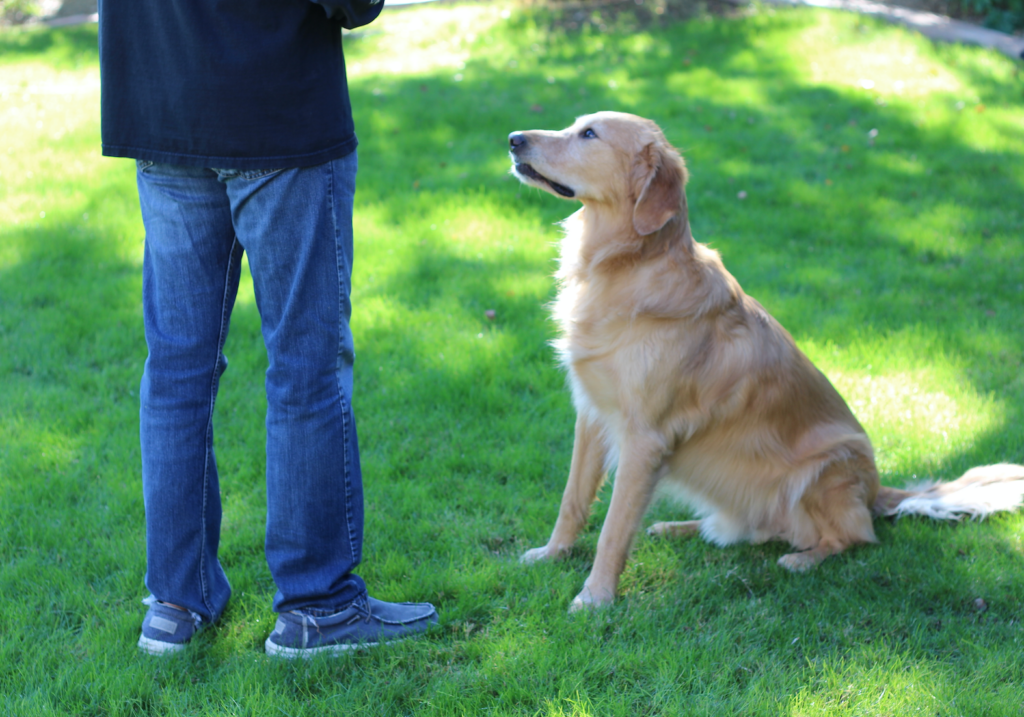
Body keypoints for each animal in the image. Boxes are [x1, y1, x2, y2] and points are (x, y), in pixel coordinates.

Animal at [509, 110, 1024, 610]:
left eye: (589, 134)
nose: (514, 138)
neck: (628, 267)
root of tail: (879, 490)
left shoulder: (643, 438)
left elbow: (615, 529)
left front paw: (595, 596)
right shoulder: (592, 415)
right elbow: (573, 499)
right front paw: (553, 554)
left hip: (829, 466)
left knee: (853, 536)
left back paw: (803, 559)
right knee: (753, 530)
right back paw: (680, 528)